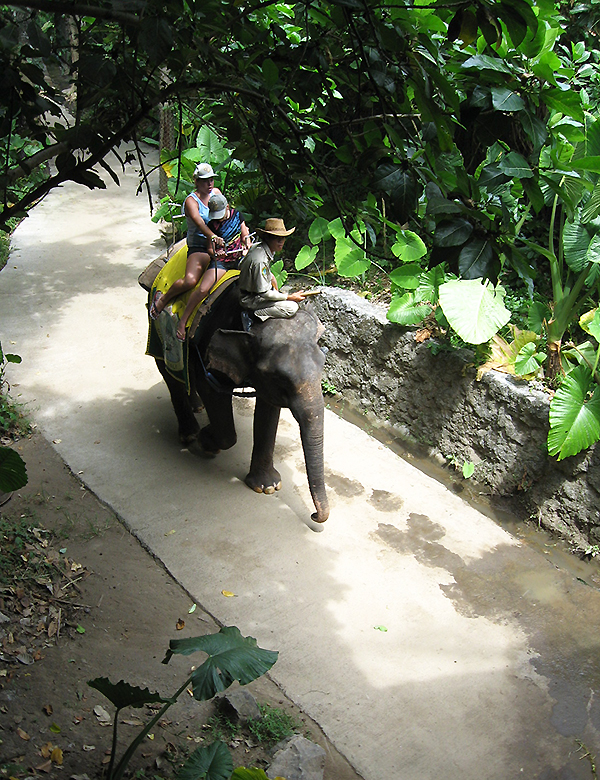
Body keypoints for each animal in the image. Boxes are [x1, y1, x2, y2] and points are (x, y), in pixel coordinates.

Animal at [150, 280, 328, 524]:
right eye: (280, 378)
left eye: (324, 363)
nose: (314, 515)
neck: (252, 321)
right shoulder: (209, 349)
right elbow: (214, 396)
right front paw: (207, 441)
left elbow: (268, 409)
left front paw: (267, 487)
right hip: (158, 327)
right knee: (169, 373)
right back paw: (190, 434)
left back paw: (197, 407)